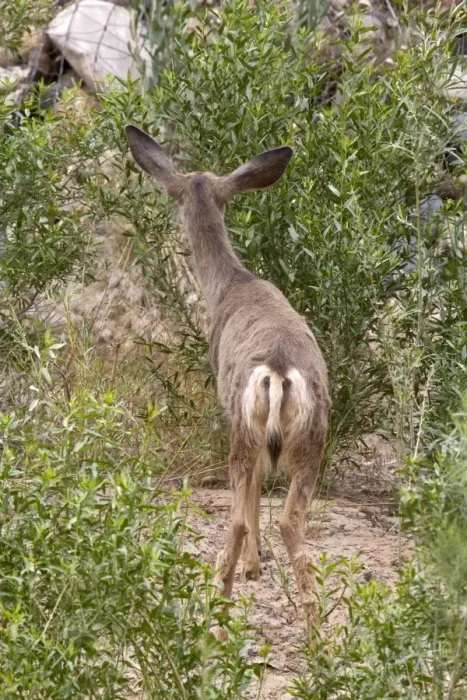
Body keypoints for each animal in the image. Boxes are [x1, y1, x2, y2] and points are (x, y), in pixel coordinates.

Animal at [126, 125, 331, 634]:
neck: (230, 286)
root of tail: (279, 370)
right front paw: (258, 566)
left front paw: (253, 567)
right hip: (313, 434)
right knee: (293, 518)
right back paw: (317, 631)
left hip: (242, 422)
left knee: (237, 514)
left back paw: (218, 608)